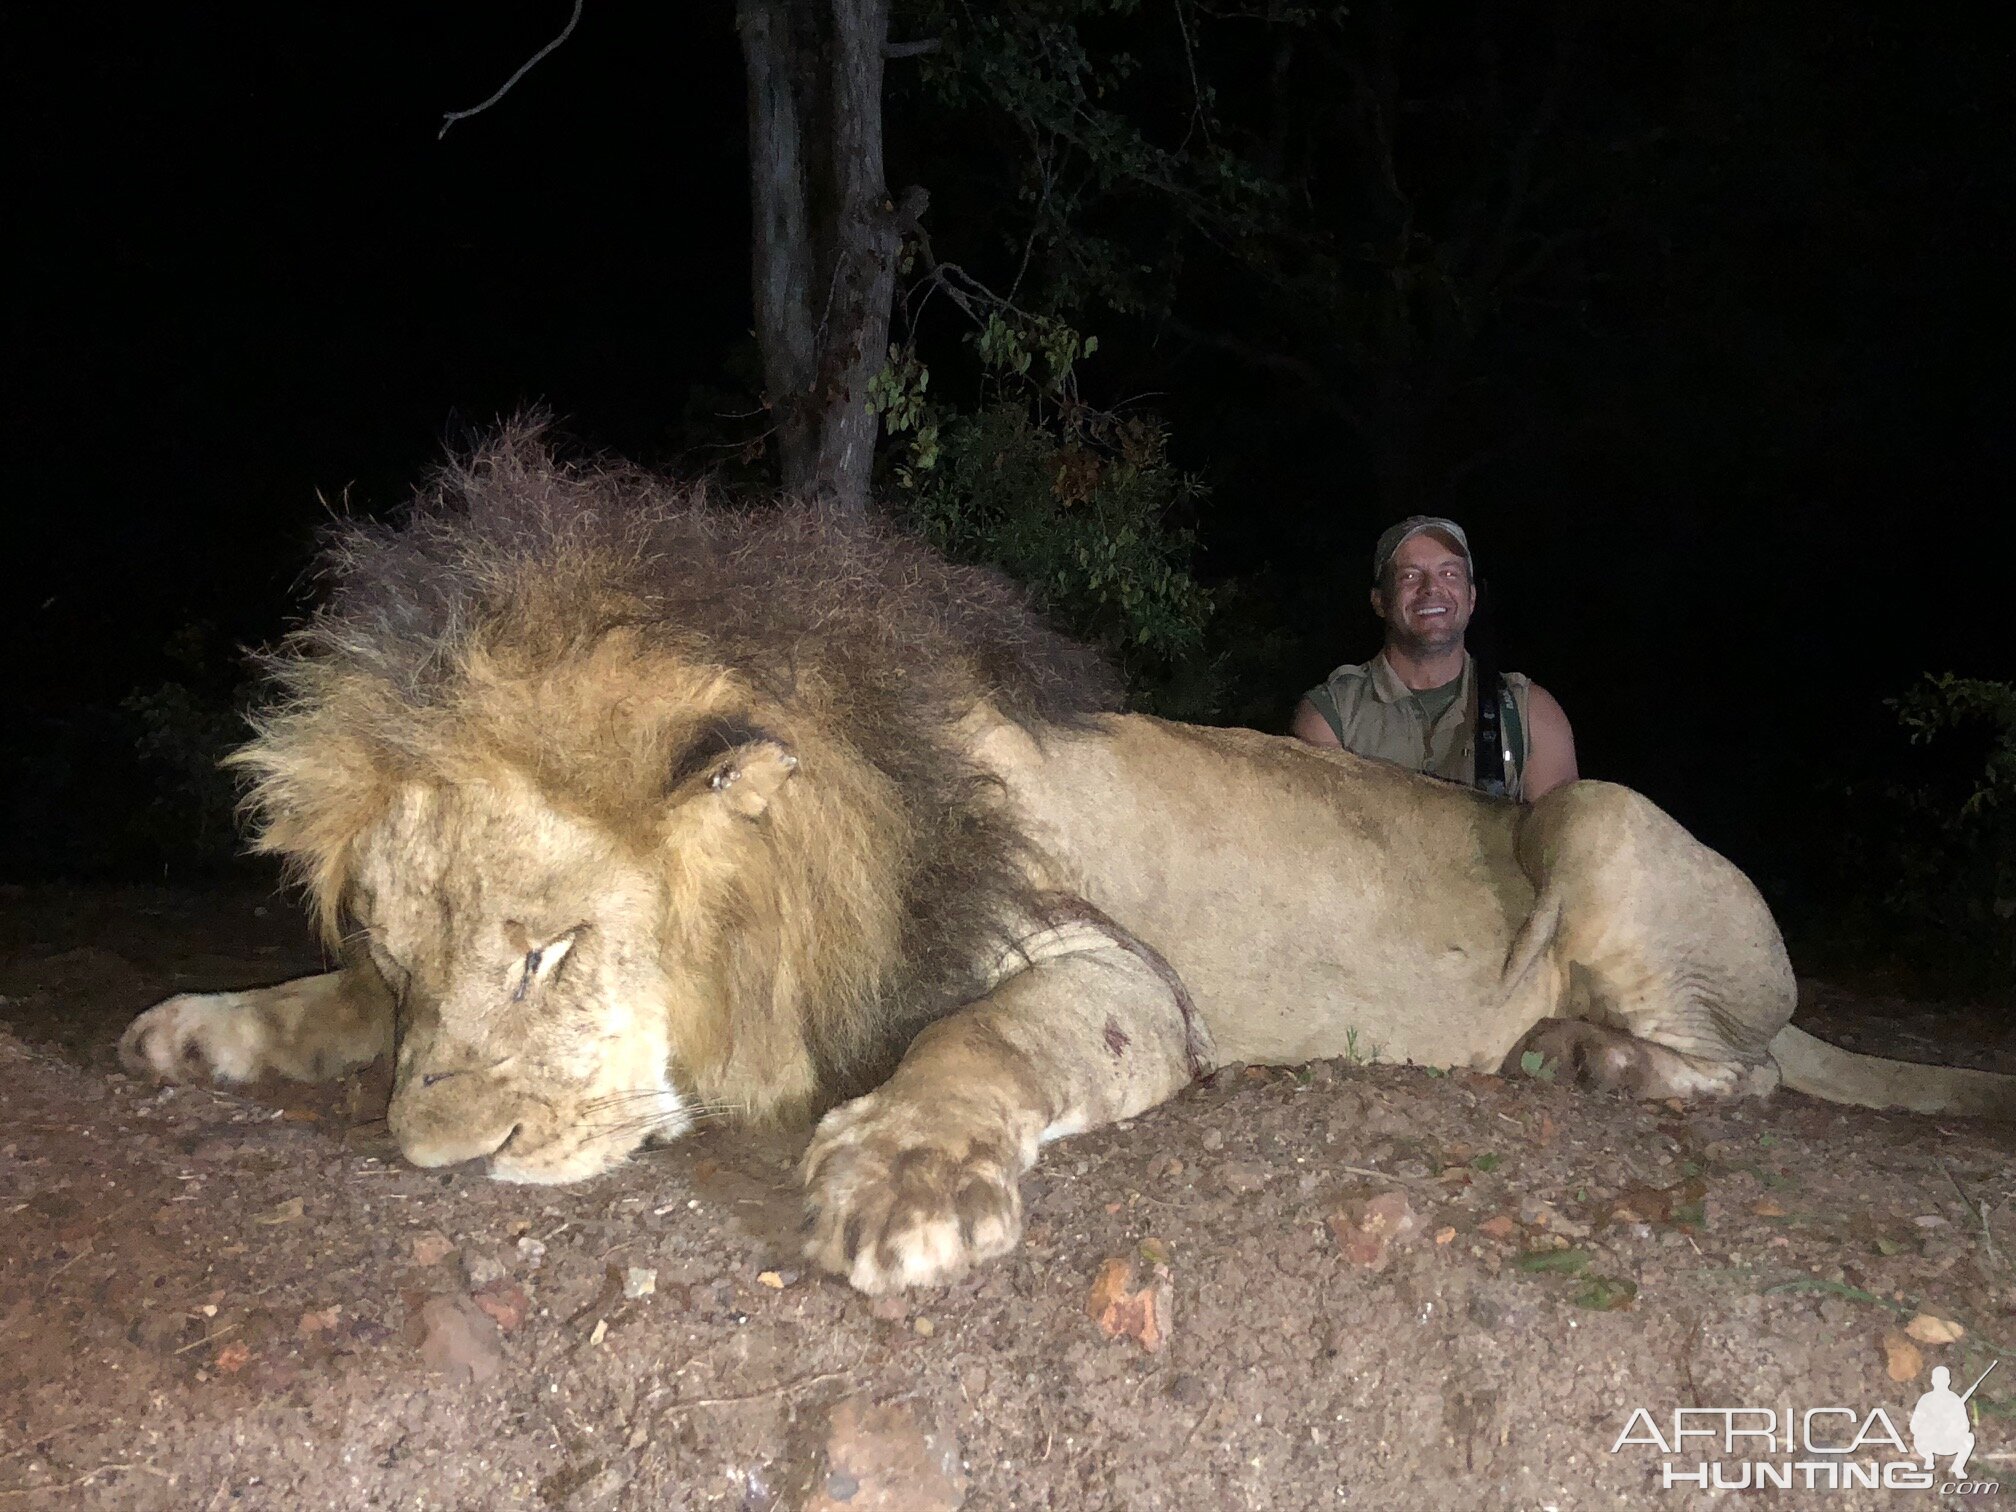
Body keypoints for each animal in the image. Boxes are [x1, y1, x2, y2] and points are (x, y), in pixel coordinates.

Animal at [121, 431, 1999, 1298]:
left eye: (547, 954)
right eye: (413, 954)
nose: (437, 1159)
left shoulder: (1107, 971)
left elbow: (983, 1044)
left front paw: (902, 1183)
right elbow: (326, 1008)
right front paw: (205, 1025)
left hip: (1595, 816)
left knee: (1749, 1069)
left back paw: (1599, 1060)